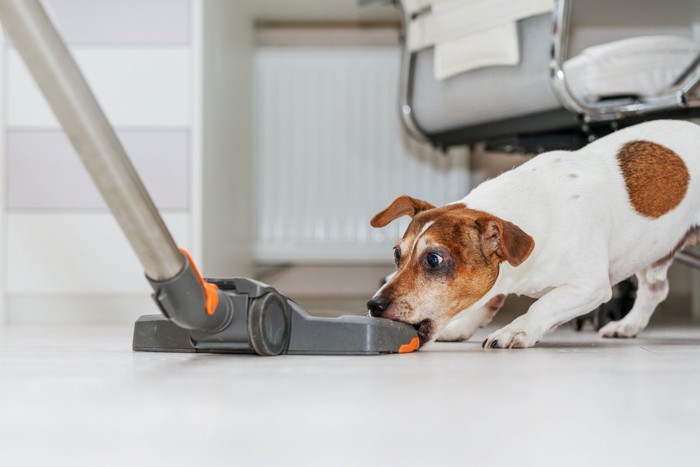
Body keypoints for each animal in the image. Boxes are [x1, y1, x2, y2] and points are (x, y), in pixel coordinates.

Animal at [366, 120, 700, 352]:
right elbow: (488, 301)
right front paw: (462, 326)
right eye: (397, 254)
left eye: (434, 259)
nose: (374, 305)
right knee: (656, 289)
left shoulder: (589, 286)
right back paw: (627, 325)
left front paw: (516, 330)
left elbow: (544, 305)